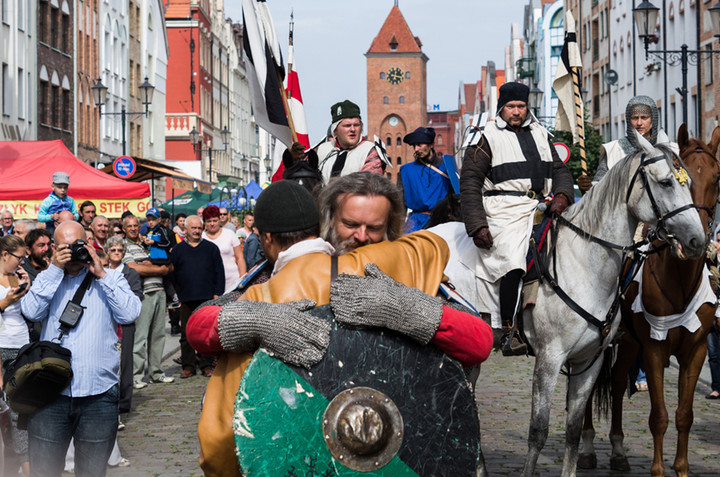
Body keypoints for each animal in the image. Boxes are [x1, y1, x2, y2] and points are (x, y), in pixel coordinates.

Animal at [576, 123, 720, 476]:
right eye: (684, 178)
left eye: (717, 177)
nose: (696, 240)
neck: (679, 280)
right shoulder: (655, 348)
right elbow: (660, 417)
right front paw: (658, 470)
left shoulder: (695, 349)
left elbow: (683, 415)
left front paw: (681, 469)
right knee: (589, 390)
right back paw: (587, 448)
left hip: (628, 341)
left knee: (615, 384)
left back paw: (617, 451)